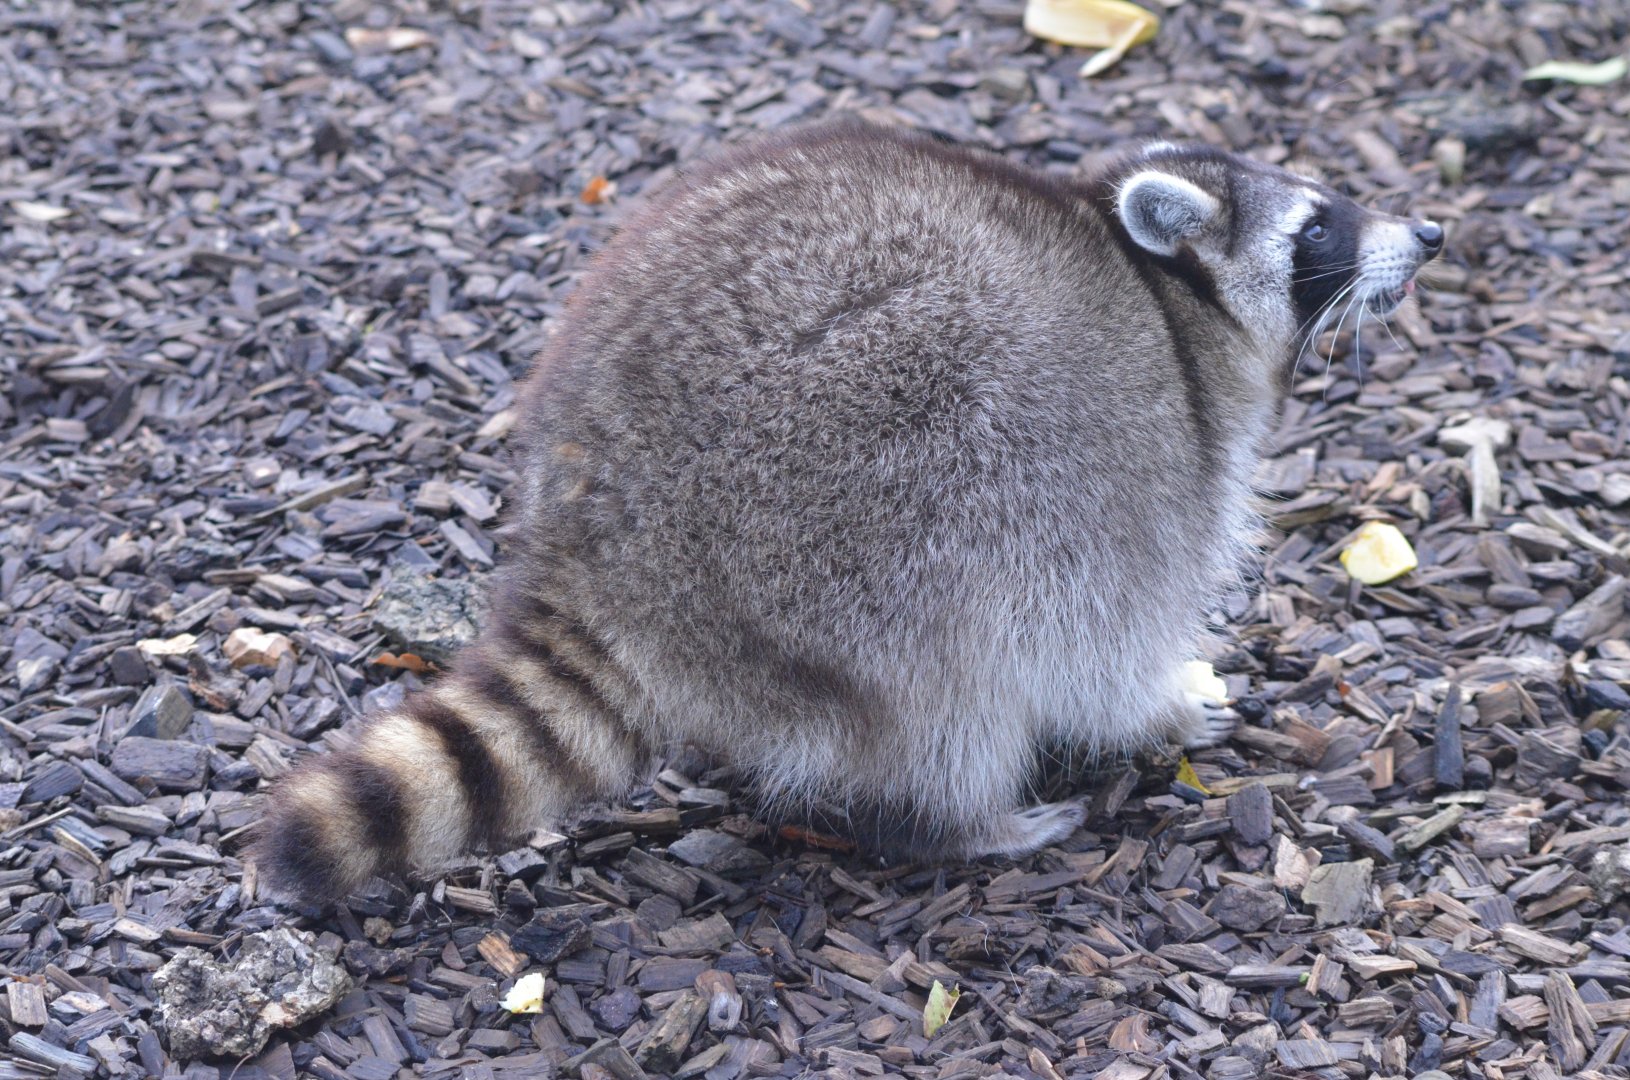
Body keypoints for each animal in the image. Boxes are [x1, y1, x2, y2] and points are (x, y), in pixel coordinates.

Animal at [251, 117, 1443, 902]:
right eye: (1317, 229)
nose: (1427, 235)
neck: (1169, 297)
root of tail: (601, 551)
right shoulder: (1134, 472)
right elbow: (1099, 639)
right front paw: (1152, 706)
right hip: (863, 521)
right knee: (951, 679)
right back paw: (963, 819)